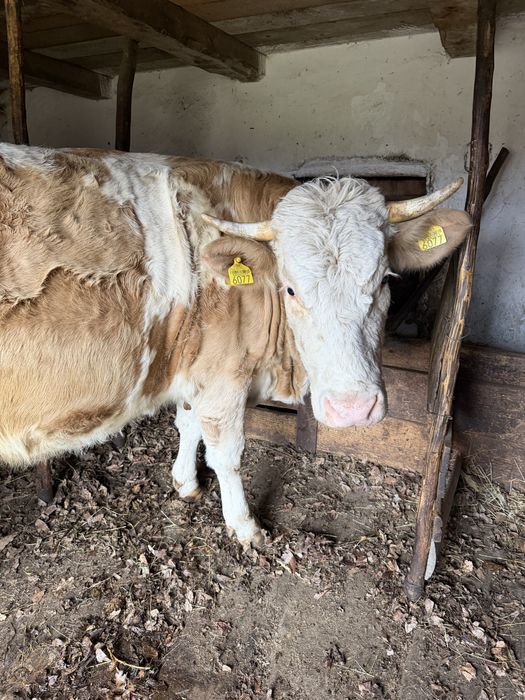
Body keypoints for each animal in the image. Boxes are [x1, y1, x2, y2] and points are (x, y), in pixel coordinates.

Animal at [0, 143, 471, 547]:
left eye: (384, 279)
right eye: (290, 289)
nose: (353, 408)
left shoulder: (195, 370)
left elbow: (187, 424)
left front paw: (185, 483)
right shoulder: (223, 377)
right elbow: (226, 454)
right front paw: (245, 526)